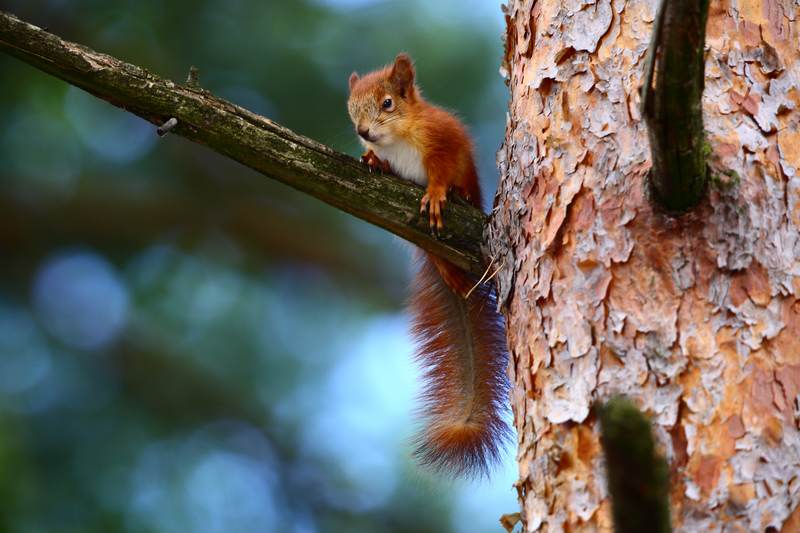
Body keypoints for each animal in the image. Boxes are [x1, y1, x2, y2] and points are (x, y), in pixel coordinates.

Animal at [346, 52, 510, 476]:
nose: (364, 133)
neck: (399, 139)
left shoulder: (443, 141)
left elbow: (441, 170)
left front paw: (437, 192)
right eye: (350, 108)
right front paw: (372, 160)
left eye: (388, 103)